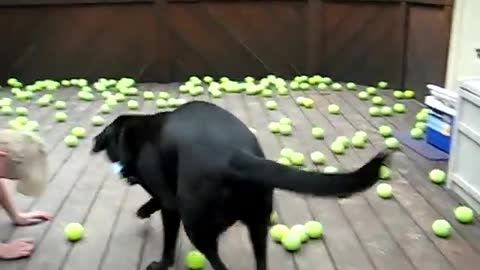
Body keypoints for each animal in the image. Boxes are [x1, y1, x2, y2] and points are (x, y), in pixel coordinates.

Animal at [91, 100, 390, 270]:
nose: (125, 174)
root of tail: (235, 155)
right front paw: (143, 209)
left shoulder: (170, 202)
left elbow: (167, 239)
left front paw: (161, 263)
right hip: (258, 224)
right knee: (260, 262)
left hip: (197, 226)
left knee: (219, 264)